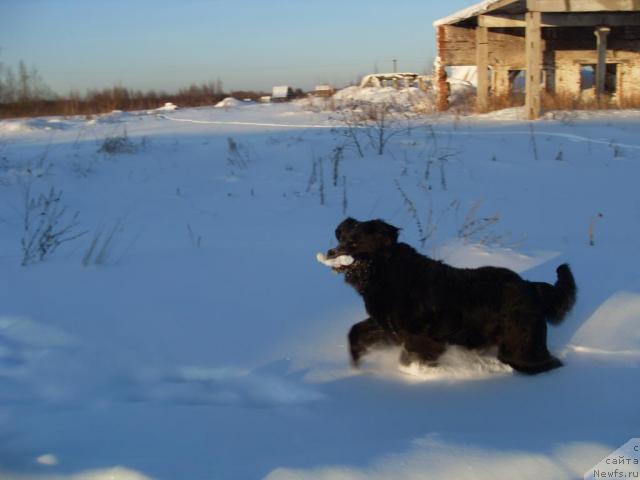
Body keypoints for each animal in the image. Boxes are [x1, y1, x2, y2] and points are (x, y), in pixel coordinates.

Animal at [322, 218, 576, 376]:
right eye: (340, 239)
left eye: (354, 242)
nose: (330, 252)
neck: (385, 270)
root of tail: (531, 287)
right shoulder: (388, 327)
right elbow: (355, 332)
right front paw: (356, 365)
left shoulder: (421, 339)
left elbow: (410, 358)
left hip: (519, 346)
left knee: (544, 363)